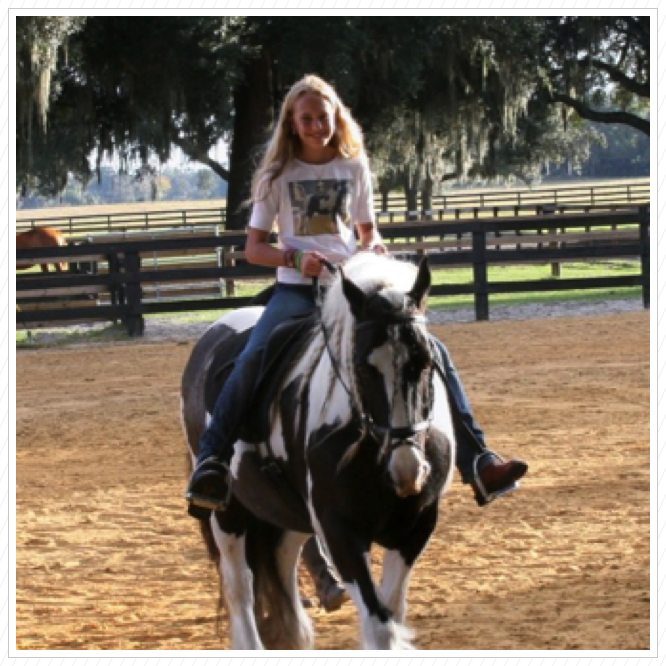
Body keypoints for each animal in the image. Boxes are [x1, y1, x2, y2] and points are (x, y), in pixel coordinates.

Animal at [179, 252, 454, 644]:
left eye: (427, 362)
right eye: (361, 367)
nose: (407, 470)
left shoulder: (416, 526)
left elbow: (392, 610)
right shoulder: (338, 530)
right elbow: (380, 626)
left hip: (284, 509)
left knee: (282, 562)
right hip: (227, 511)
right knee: (240, 586)